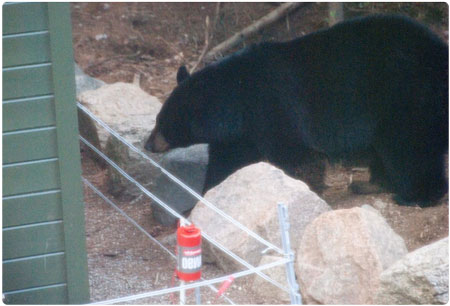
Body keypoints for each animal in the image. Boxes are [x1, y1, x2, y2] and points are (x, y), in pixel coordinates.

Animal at [146, 15, 448, 208]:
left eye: (162, 121)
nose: (148, 144)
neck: (236, 97)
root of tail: (438, 50)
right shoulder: (242, 132)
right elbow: (227, 162)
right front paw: (206, 197)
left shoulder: (273, 107)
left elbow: (296, 155)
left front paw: (303, 189)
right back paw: (370, 184)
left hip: (406, 96)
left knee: (408, 148)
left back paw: (416, 196)